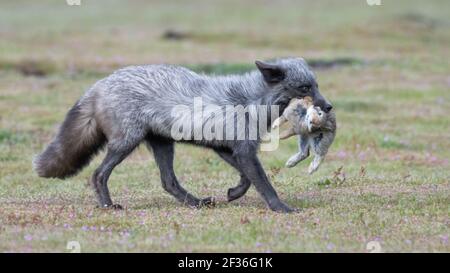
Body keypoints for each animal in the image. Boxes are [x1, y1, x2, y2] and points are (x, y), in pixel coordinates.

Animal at [33, 57, 332, 212]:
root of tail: (99, 85)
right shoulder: (243, 149)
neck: (251, 99)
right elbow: (263, 182)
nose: (328, 107)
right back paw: (108, 206)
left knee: (168, 182)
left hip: (163, 145)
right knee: (98, 174)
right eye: (305, 87)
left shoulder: (228, 147)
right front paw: (280, 207)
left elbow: (247, 179)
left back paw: (196, 203)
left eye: (317, 85)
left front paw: (234, 193)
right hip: (126, 143)